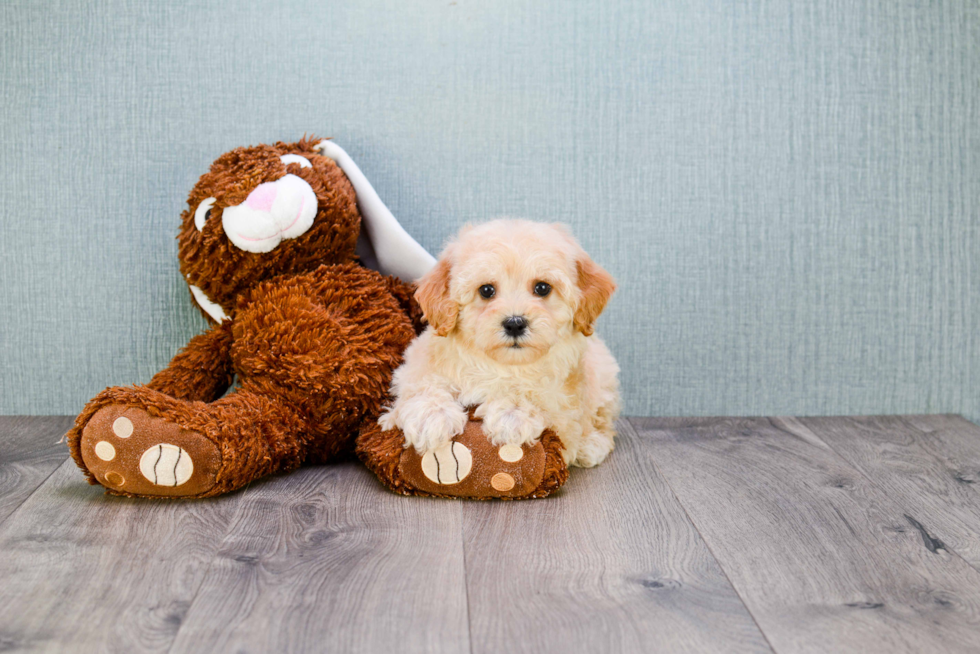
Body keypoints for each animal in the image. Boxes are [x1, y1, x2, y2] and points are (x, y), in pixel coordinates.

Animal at [378, 219, 620, 466]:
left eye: (542, 288)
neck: (500, 364)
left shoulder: (565, 408)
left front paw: (512, 416)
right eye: (486, 290)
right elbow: (421, 383)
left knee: (602, 422)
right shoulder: (418, 362)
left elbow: (539, 397)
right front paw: (431, 417)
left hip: (604, 376)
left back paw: (591, 445)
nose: (515, 323)